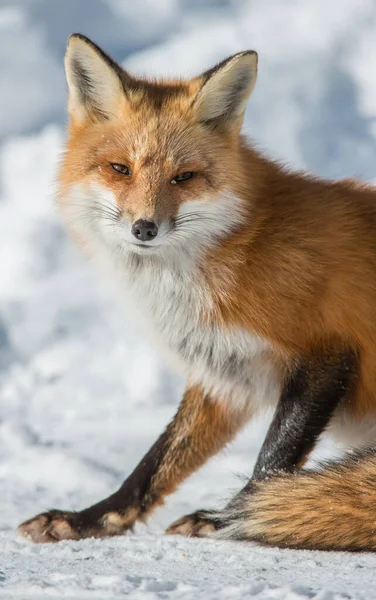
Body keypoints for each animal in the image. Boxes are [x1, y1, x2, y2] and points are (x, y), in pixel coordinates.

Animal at [17, 31, 376, 548]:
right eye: (120, 169)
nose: (144, 228)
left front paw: (226, 518)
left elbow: (272, 463)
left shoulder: (328, 350)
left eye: (183, 176)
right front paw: (91, 518)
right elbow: (155, 464)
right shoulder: (225, 374)